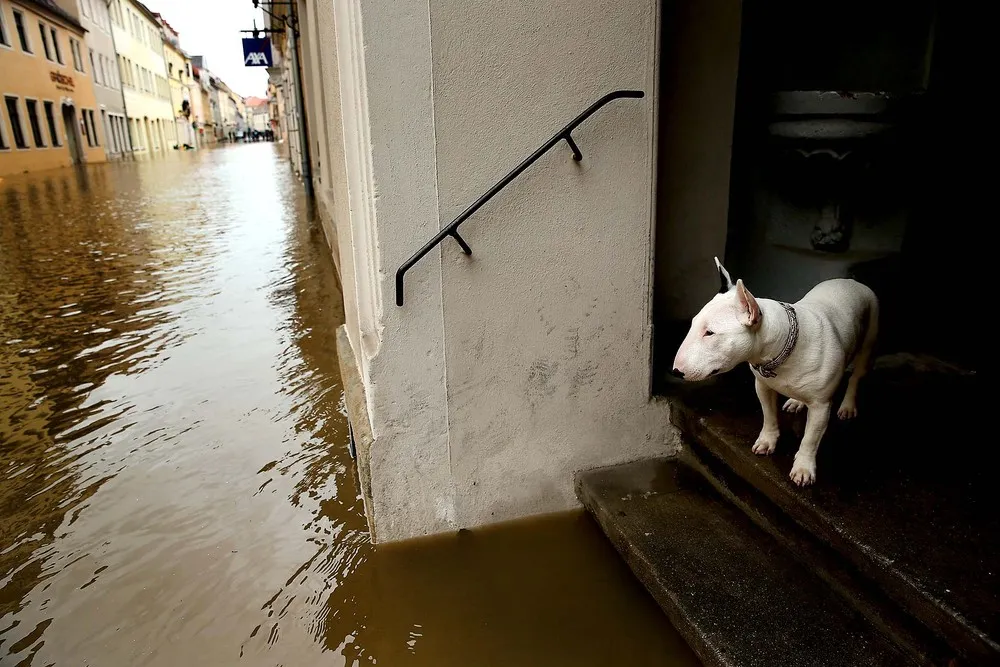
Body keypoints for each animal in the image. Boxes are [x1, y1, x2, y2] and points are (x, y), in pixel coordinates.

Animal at [672, 260, 876, 486]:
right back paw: (796, 401)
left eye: (710, 333)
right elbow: (768, 414)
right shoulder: (762, 385)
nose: (676, 371)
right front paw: (767, 441)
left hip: (870, 335)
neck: (784, 344)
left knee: (856, 376)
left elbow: (810, 438)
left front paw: (803, 468)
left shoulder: (821, 405)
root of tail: (852, 281)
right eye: (693, 324)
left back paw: (847, 406)